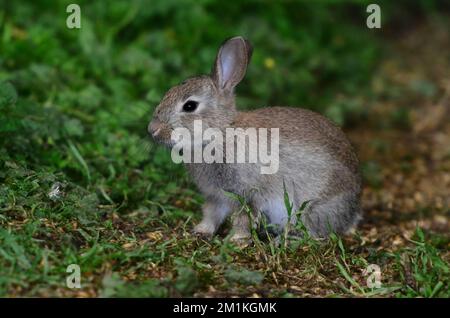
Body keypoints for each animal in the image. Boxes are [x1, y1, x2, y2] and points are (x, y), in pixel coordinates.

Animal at [148, 36, 362, 241]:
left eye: (190, 106)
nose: (152, 129)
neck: (220, 131)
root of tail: (352, 209)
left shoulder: (248, 193)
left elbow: (243, 217)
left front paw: (237, 239)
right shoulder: (216, 196)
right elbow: (211, 214)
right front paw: (201, 231)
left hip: (313, 207)